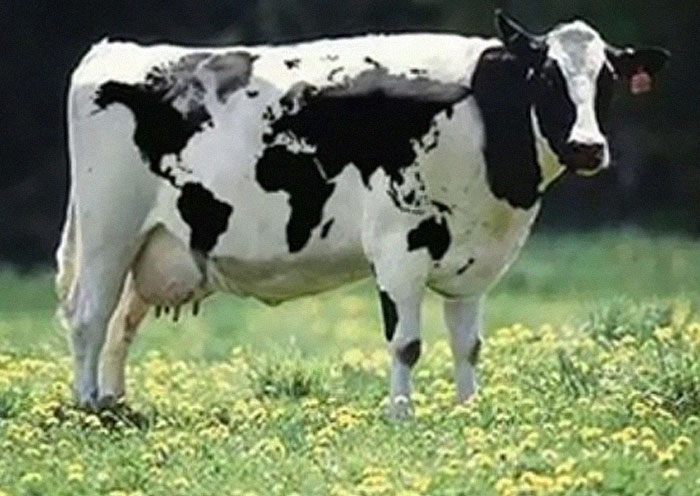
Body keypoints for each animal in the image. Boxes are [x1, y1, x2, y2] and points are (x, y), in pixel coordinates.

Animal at [56, 10, 668, 418]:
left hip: (154, 244)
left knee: (121, 324)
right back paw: (87, 408)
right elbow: (407, 344)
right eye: (546, 78)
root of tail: (114, 50)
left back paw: (116, 406)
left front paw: (469, 413)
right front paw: (401, 417)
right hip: (108, 232)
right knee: (89, 317)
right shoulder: (400, 245)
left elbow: (468, 344)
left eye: (608, 80)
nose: (588, 147)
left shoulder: (473, 260)